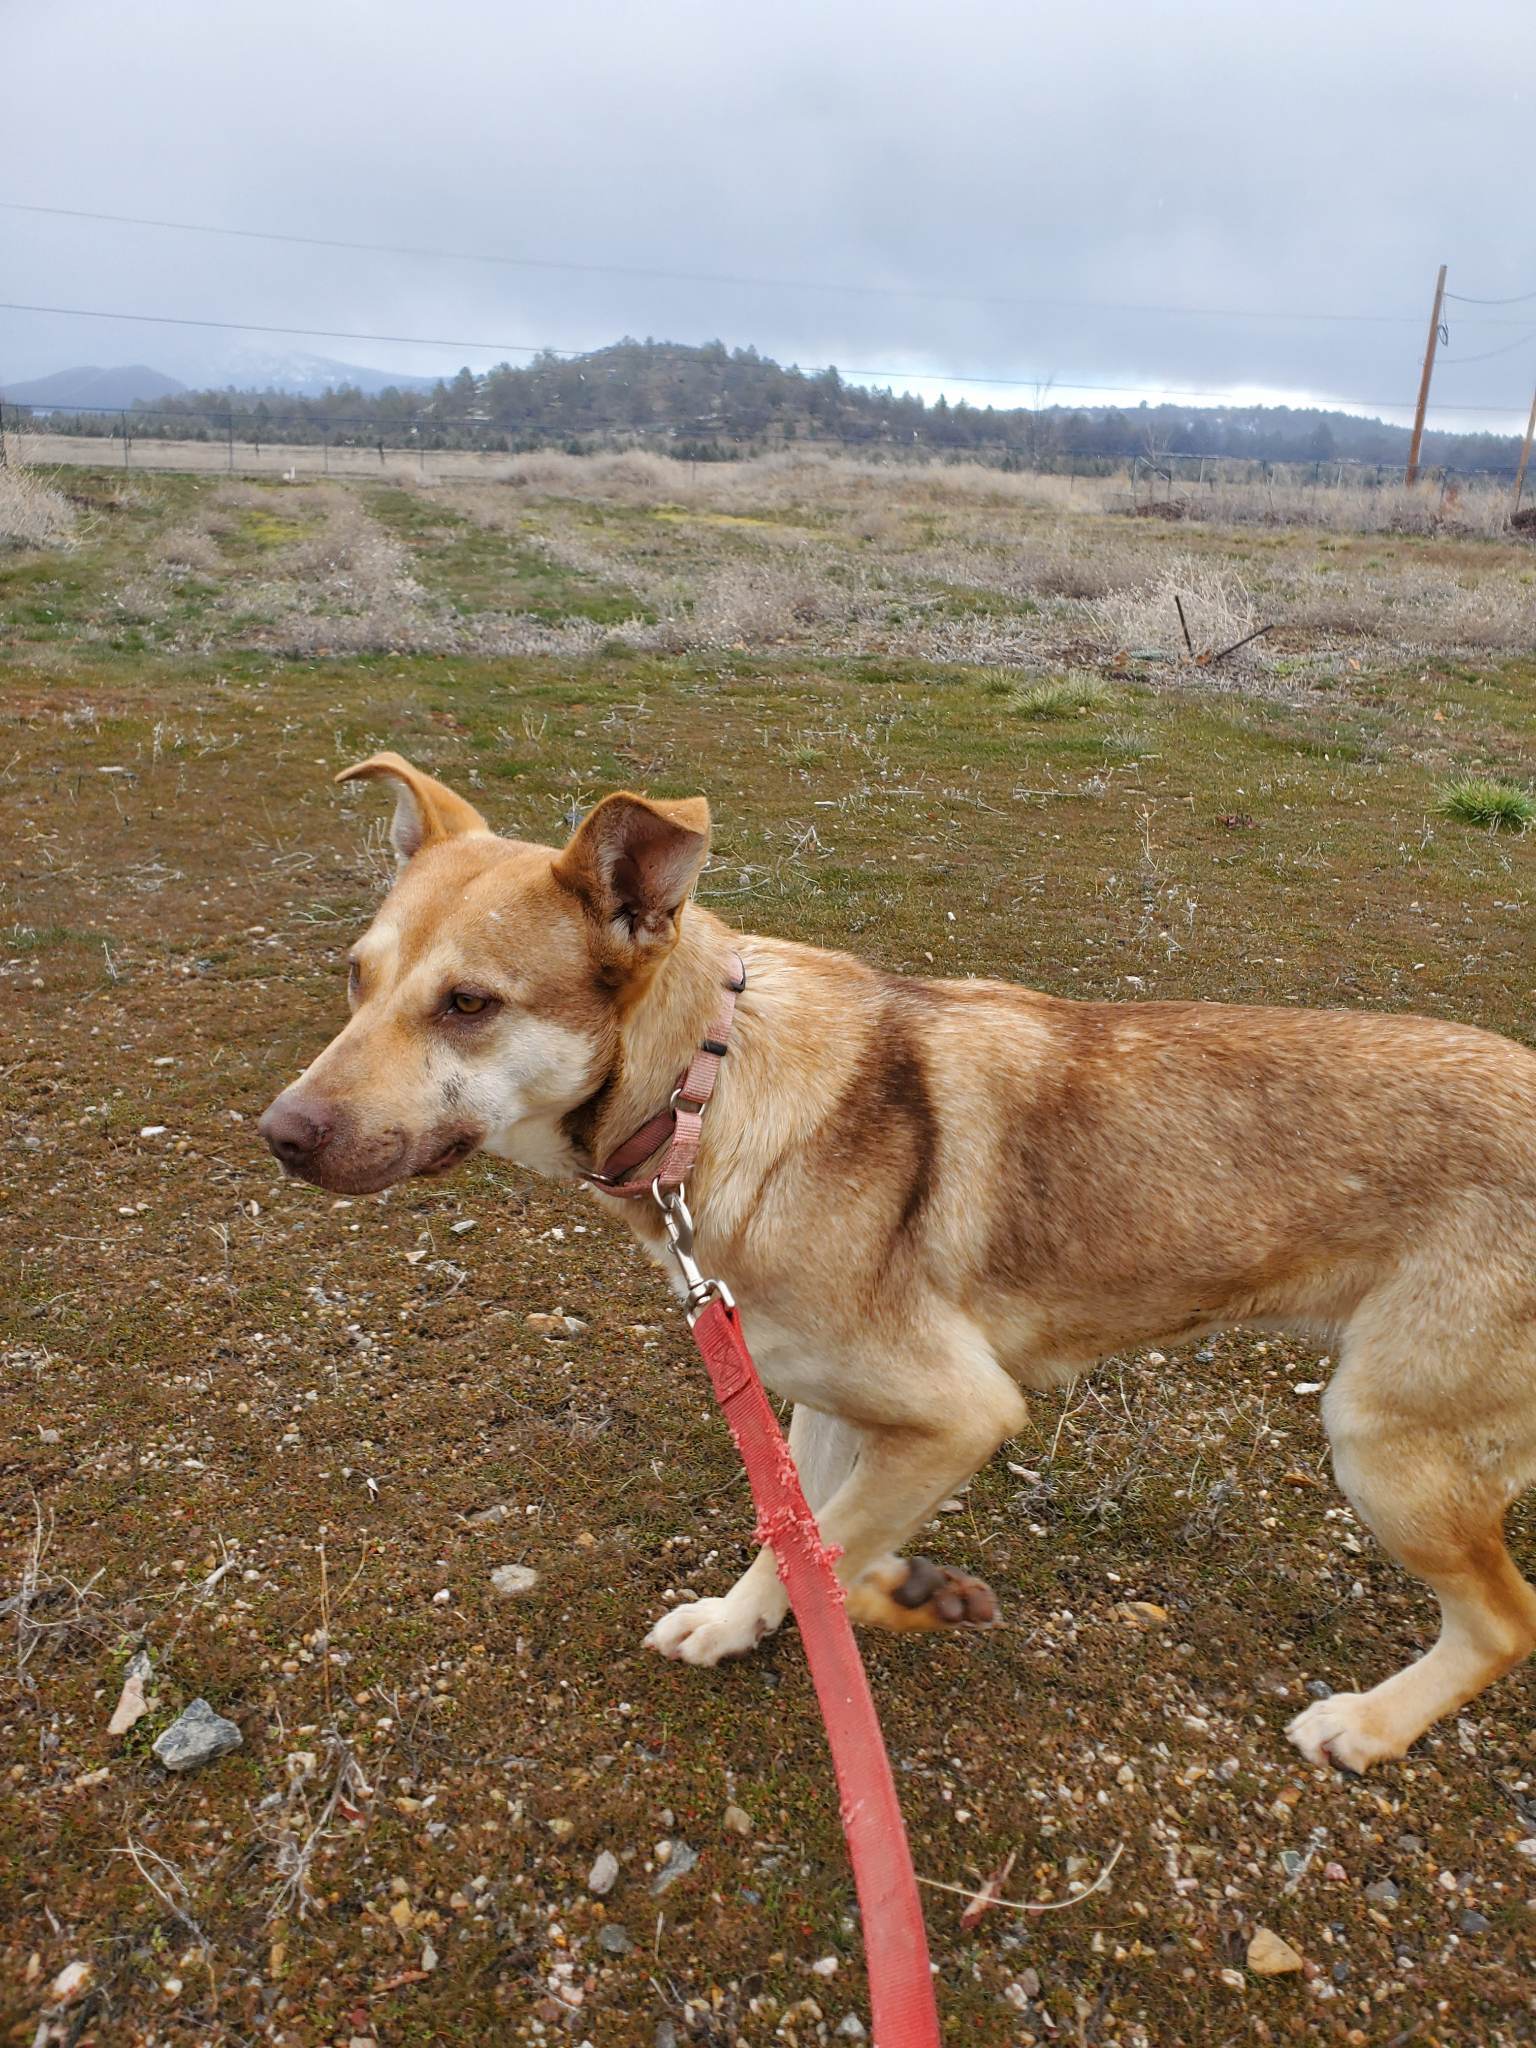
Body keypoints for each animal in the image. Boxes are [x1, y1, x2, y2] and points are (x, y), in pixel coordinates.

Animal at [262, 757, 1536, 1777]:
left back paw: (1369, 1724)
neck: (707, 1092)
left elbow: (835, 1541)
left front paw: (896, 1594)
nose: (280, 1131)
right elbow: (799, 1537)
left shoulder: (960, 1411)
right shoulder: (822, 1398)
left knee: (1503, 1621)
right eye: (356, 976)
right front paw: (748, 1620)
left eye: (469, 1003)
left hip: (1382, 1437)